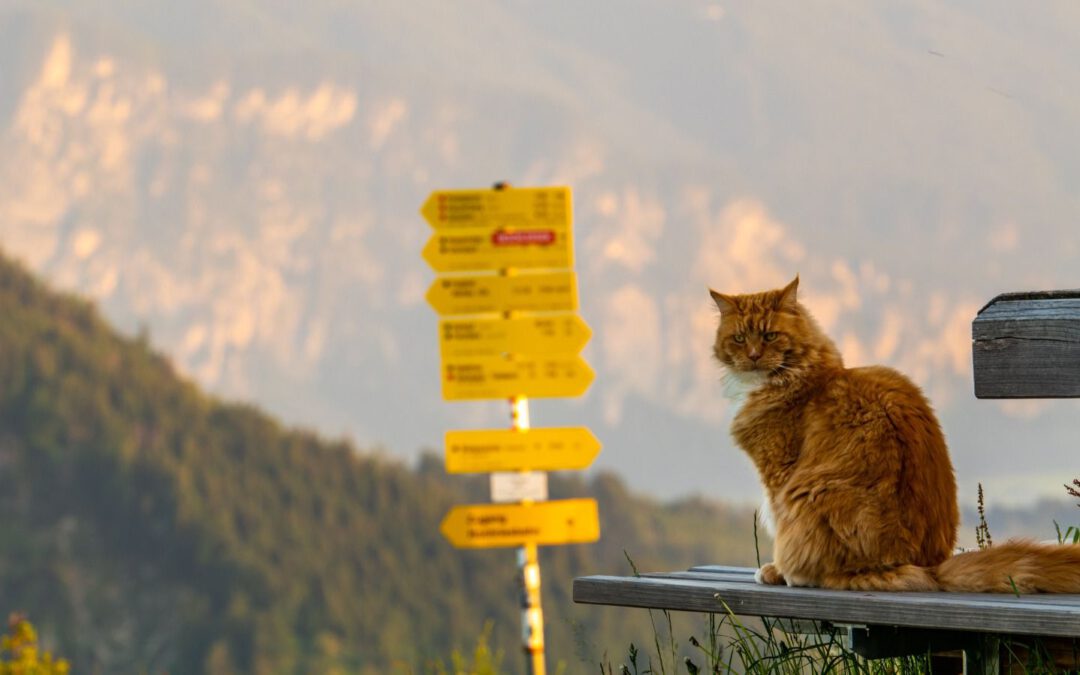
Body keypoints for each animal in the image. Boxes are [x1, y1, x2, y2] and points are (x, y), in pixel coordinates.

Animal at [708, 274, 1080, 587]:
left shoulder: (780, 476)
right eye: (739, 339)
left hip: (807, 494)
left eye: (769, 336)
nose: (753, 356)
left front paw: (778, 572)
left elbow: (779, 526)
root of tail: (926, 564)